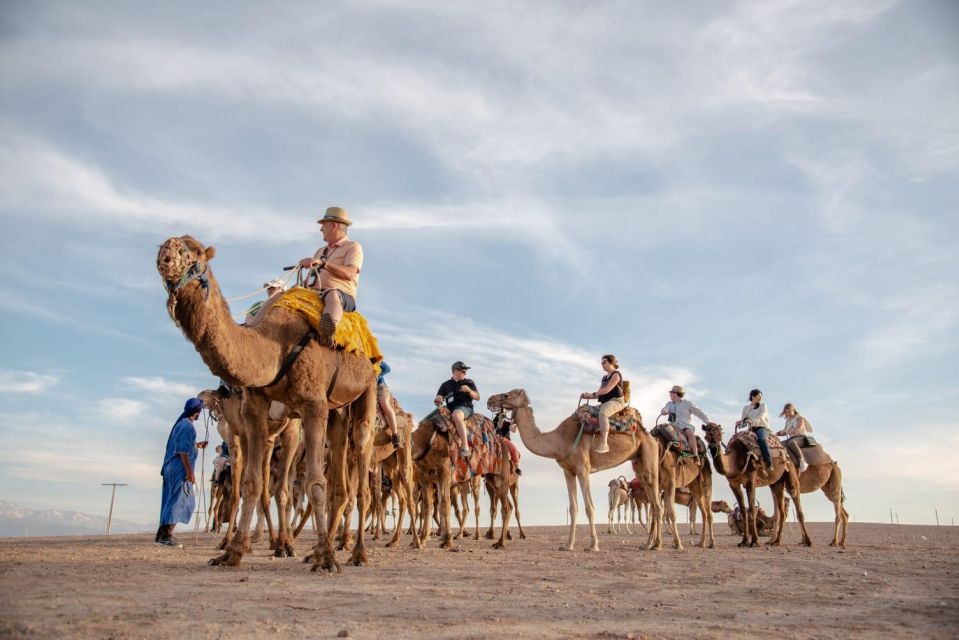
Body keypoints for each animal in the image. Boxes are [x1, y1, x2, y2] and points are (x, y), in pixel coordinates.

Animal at [158, 236, 378, 568]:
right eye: (164, 245)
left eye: (194, 252)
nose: (165, 256)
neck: (274, 342)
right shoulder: (253, 409)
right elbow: (251, 483)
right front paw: (232, 552)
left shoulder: (312, 405)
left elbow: (314, 483)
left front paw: (325, 559)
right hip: (337, 411)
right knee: (339, 480)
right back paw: (315, 547)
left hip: (367, 391)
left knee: (360, 474)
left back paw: (356, 553)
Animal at [484, 388, 664, 552]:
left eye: (507, 395)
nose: (490, 399)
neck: (559, 440)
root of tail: (650, 437)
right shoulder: (568, 471)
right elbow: (573, 508)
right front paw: (568, 545)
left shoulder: (583, 469)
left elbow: (589, 507)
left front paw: (593, 545)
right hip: (638, 465)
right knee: (653, 502)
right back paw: (648, 544)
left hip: (650, 462)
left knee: (657, 504)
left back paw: (657, 545)